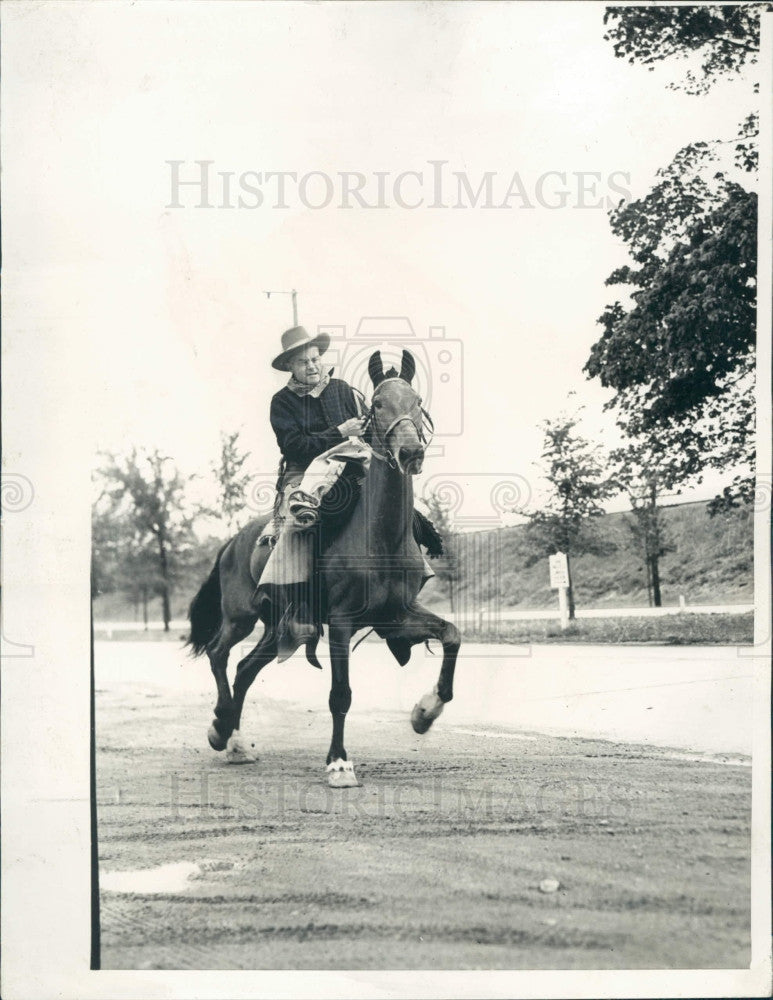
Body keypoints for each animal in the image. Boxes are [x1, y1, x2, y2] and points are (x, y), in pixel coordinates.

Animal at [186, 352, 458, 788]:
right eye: (377, 404)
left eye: (416, 401)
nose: (411, 451)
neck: (380, 538)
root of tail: (232, 542)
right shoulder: (342, 621)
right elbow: (340, 693)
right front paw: (339, 763)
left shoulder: (398, 616)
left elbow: (451, 635)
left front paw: (425, 712)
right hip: (240, 617)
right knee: (218, 654)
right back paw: (220, 727)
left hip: (279, 626)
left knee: (245, 669)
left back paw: (237, 742)